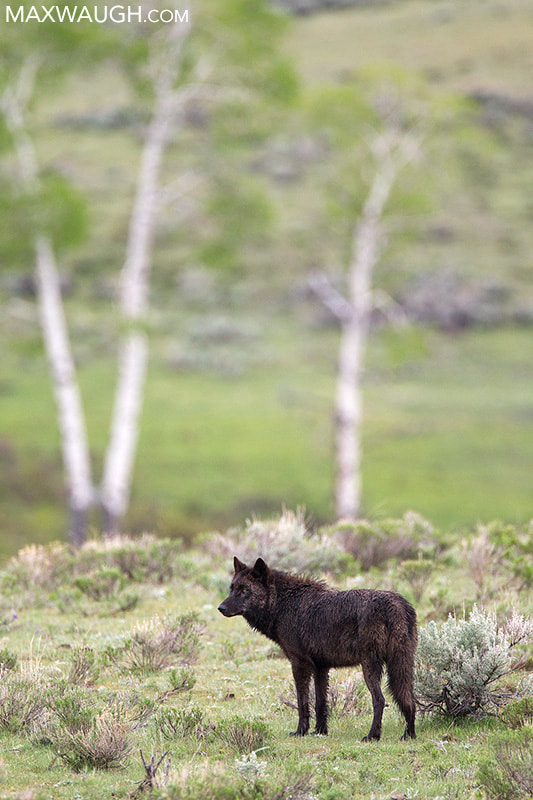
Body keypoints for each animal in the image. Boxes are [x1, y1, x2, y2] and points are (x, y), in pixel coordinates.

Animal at [218, 560, 418, 740]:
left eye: (244, 590)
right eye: (231, 588)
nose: (221, 608)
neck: (282, 604)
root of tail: (398, 605)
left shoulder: (299, 664)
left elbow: (302, 702)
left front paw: (301, 731)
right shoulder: (321, 667)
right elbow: (321, 703)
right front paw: (320, 731)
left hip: (370, 666)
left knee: (380, 700)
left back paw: (372, 736)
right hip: (401, 667)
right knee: (409, 700)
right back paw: (409, 735)